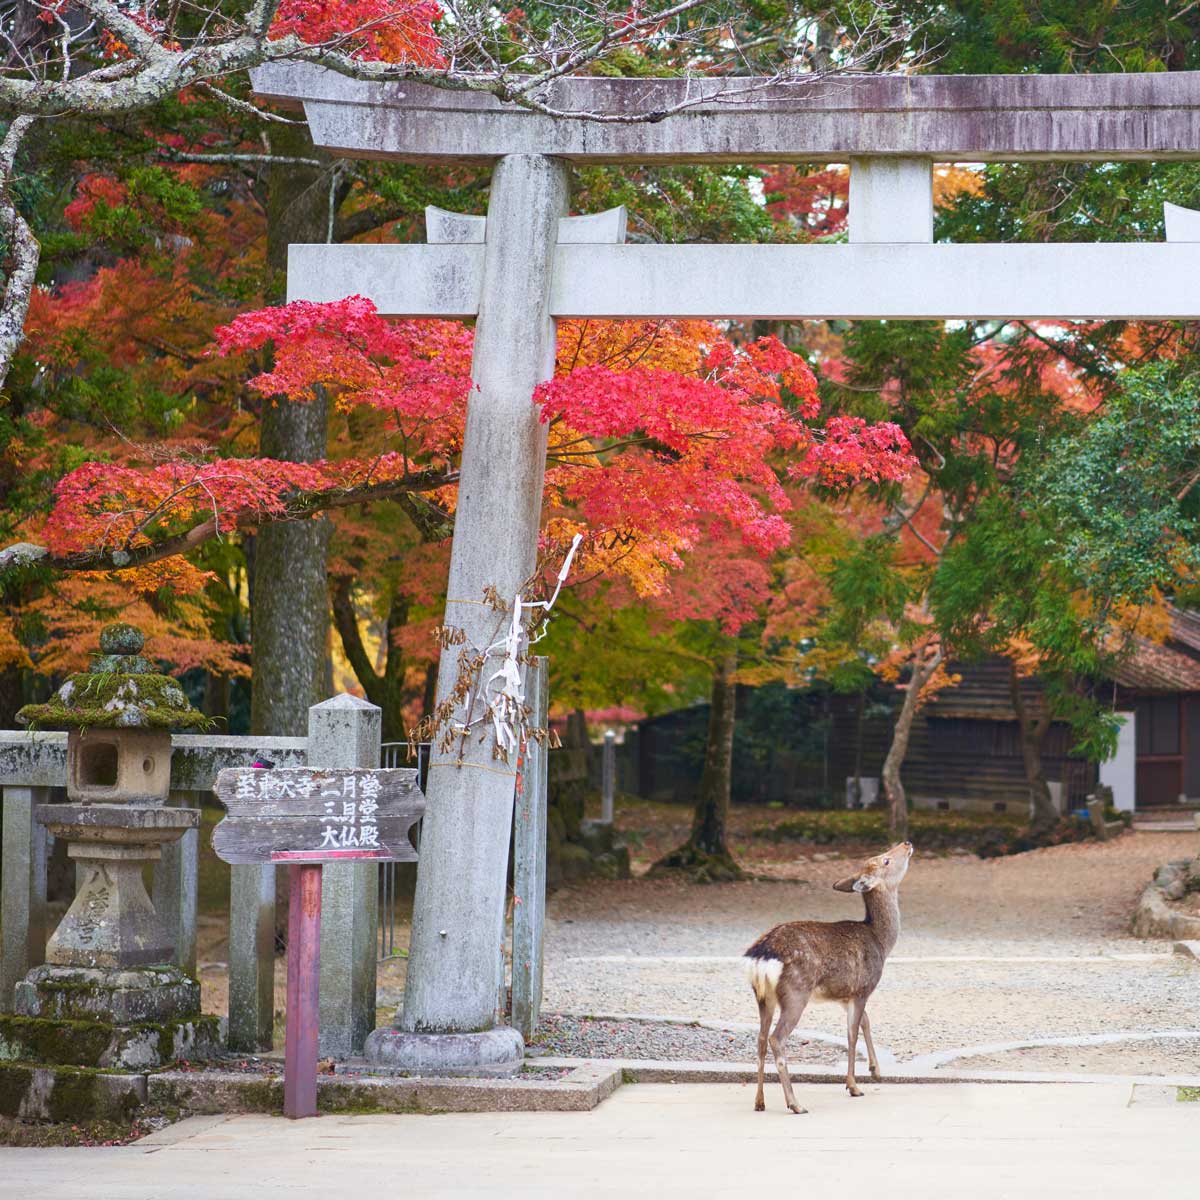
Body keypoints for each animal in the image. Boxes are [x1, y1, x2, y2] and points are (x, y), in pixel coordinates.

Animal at [739, 844, 907, 1113]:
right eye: (886, 860)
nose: (907, 844)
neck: (881, 942)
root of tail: (761, 955)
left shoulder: (844, 995)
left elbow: (865, 1022)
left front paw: (876, 1071)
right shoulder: (863, 988)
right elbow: (852, 1034)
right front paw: (854, 1086)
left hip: (763, 996)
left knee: (761, 1039)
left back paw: (759, 1101)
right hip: (795, 993)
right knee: (777, 1038)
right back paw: (795, 1103)